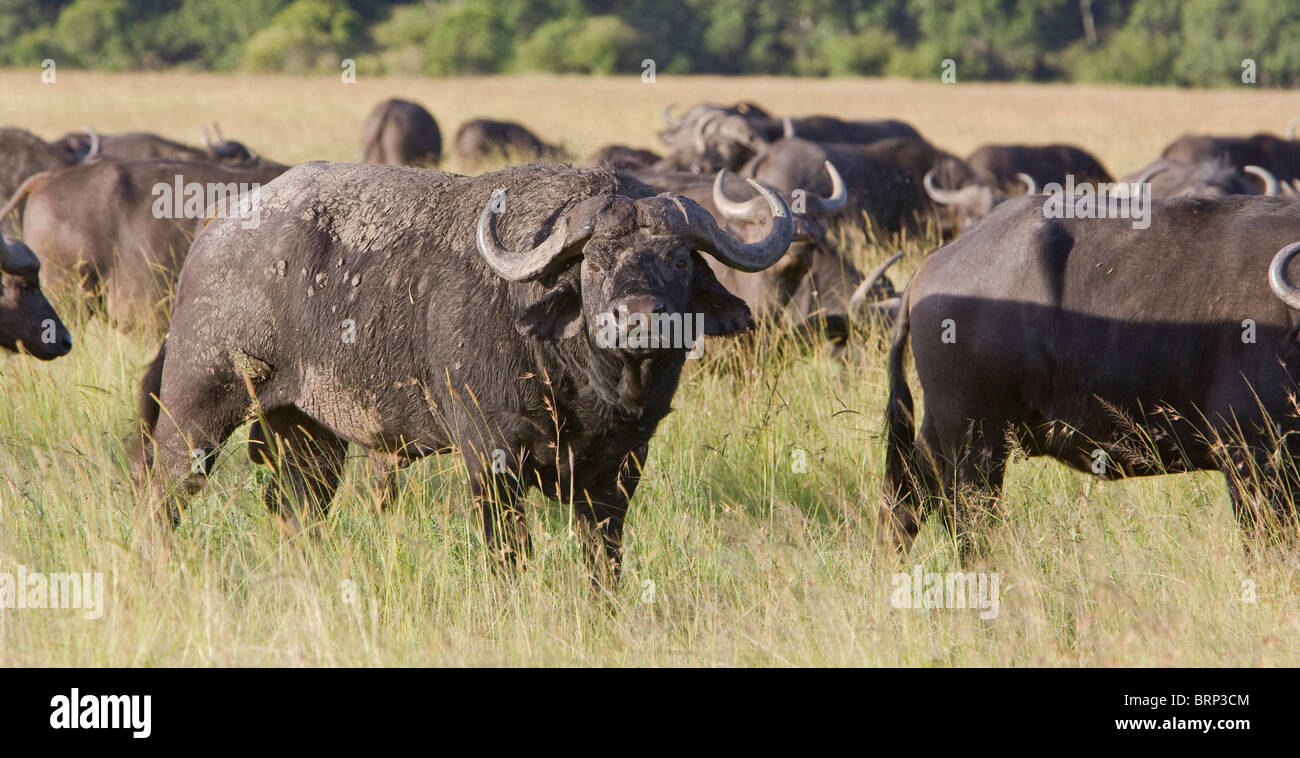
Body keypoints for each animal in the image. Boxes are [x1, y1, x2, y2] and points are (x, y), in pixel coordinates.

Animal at [133, 161, 792, 583]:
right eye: (596, 261)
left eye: (679, 259)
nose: (639, 319)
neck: (587, 387)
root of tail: (216, 229)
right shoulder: (491, 459)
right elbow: (508, 555)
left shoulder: (619, 472)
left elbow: (602, 562)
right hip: (195, 410)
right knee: (164, 495)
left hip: (307, 433)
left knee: (297, 510)